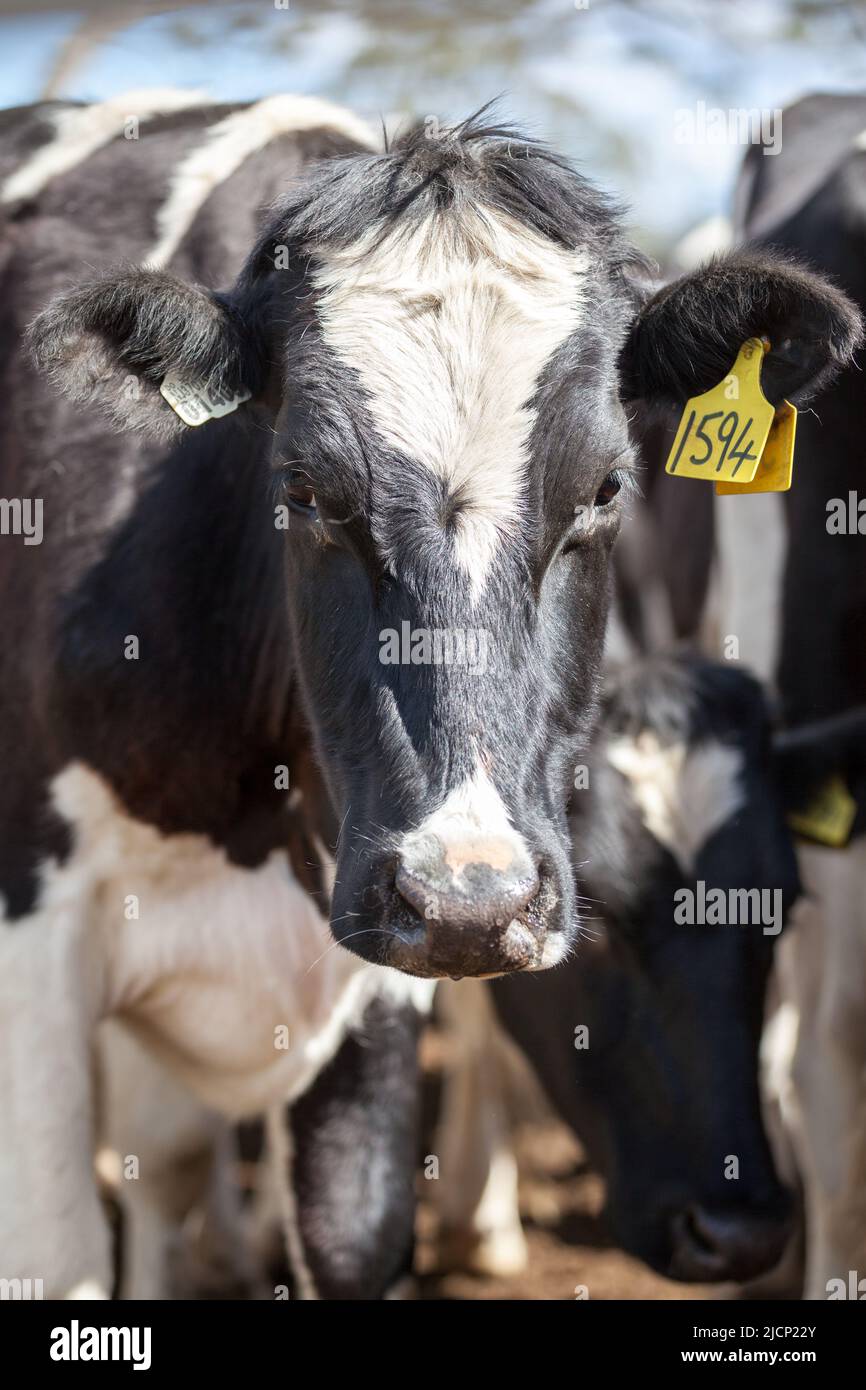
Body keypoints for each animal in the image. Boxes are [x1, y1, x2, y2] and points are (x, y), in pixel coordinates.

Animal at [0, 90, 860, 1298]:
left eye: (607, 487)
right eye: (303, 487)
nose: (471, 898)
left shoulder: (377, 961)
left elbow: (353, 1228)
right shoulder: (35, 942)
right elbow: (61, 1247)